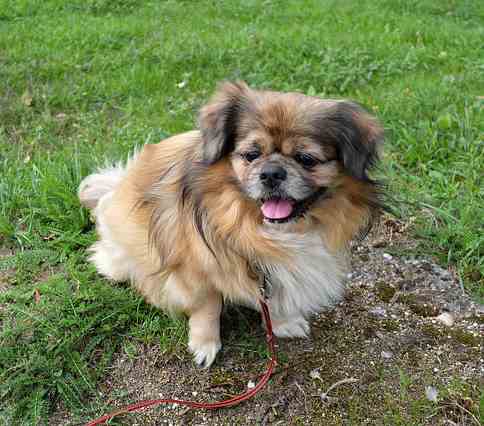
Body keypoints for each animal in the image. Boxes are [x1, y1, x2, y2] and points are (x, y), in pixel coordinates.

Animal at [78, 81, 382, 368]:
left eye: (306, 159)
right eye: (251, 155)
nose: (272, 173)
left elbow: (276, 297)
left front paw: (283, 323)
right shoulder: (195, 270)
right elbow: (207, 307)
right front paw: (204, 344)